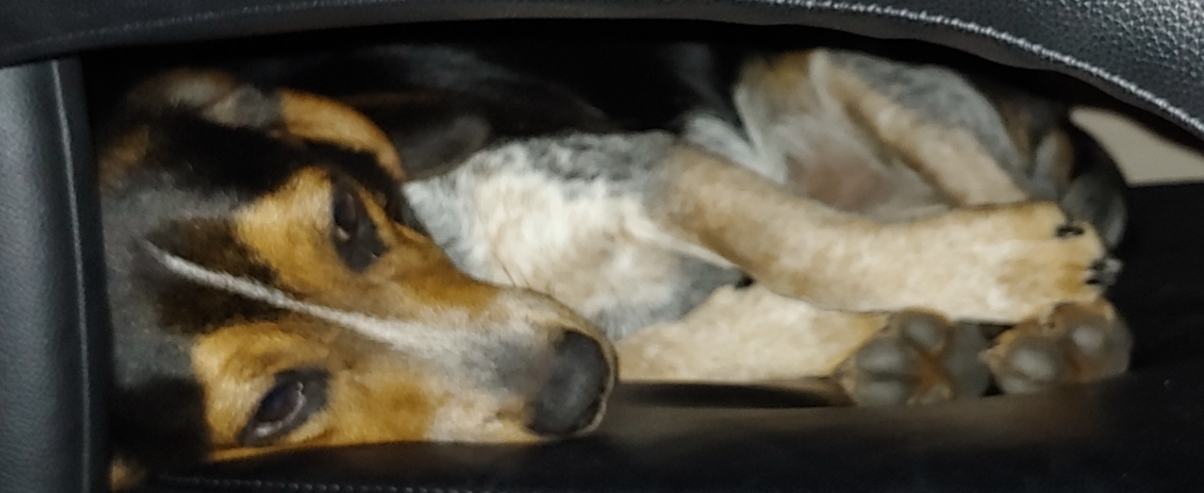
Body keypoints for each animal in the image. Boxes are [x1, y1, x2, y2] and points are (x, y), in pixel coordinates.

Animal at [98, 41, 1131, 484]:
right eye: (277, 406)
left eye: (347, 217)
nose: (574, 382)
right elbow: (682, 333)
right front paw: (843, 333)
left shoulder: (646, 163)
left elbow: (798, 241)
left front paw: (1009, 269)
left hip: (816, 65)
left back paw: (1065, 324)